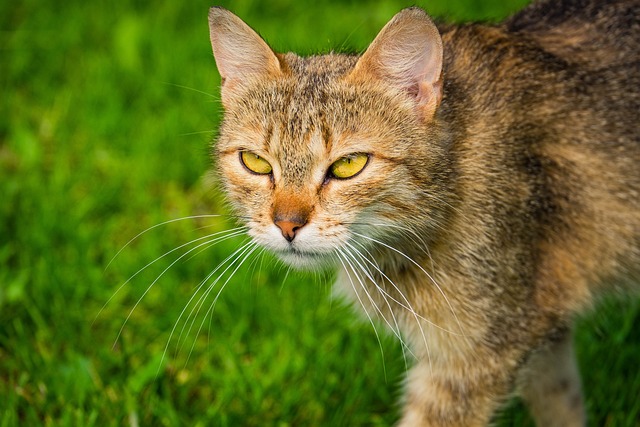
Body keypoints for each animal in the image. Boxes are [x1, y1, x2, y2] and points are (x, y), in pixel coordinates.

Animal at [208, 1, 636, 426]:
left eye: (348, 165)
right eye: (255, 162)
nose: (286, 225)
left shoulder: (480, 353)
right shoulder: (538, 324)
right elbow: (561, 402)